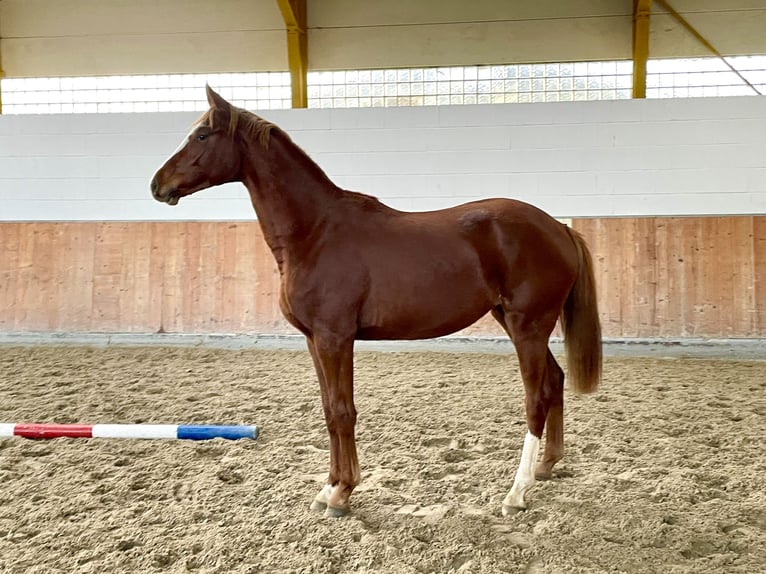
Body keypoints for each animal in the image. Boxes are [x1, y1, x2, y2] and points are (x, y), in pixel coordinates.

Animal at [152, 86, 608, 520]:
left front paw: (342, 493)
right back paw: (545, 468)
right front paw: (328, 489)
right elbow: (328, 410)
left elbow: (342, 411)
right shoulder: (314, 340)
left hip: (528, 325)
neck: (316, 230)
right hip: (516, 322)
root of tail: (559, 227)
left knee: (536, 398)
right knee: (555, 381)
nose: (157, 185)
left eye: (202, 134)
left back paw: (515, 494)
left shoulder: (335, 338)